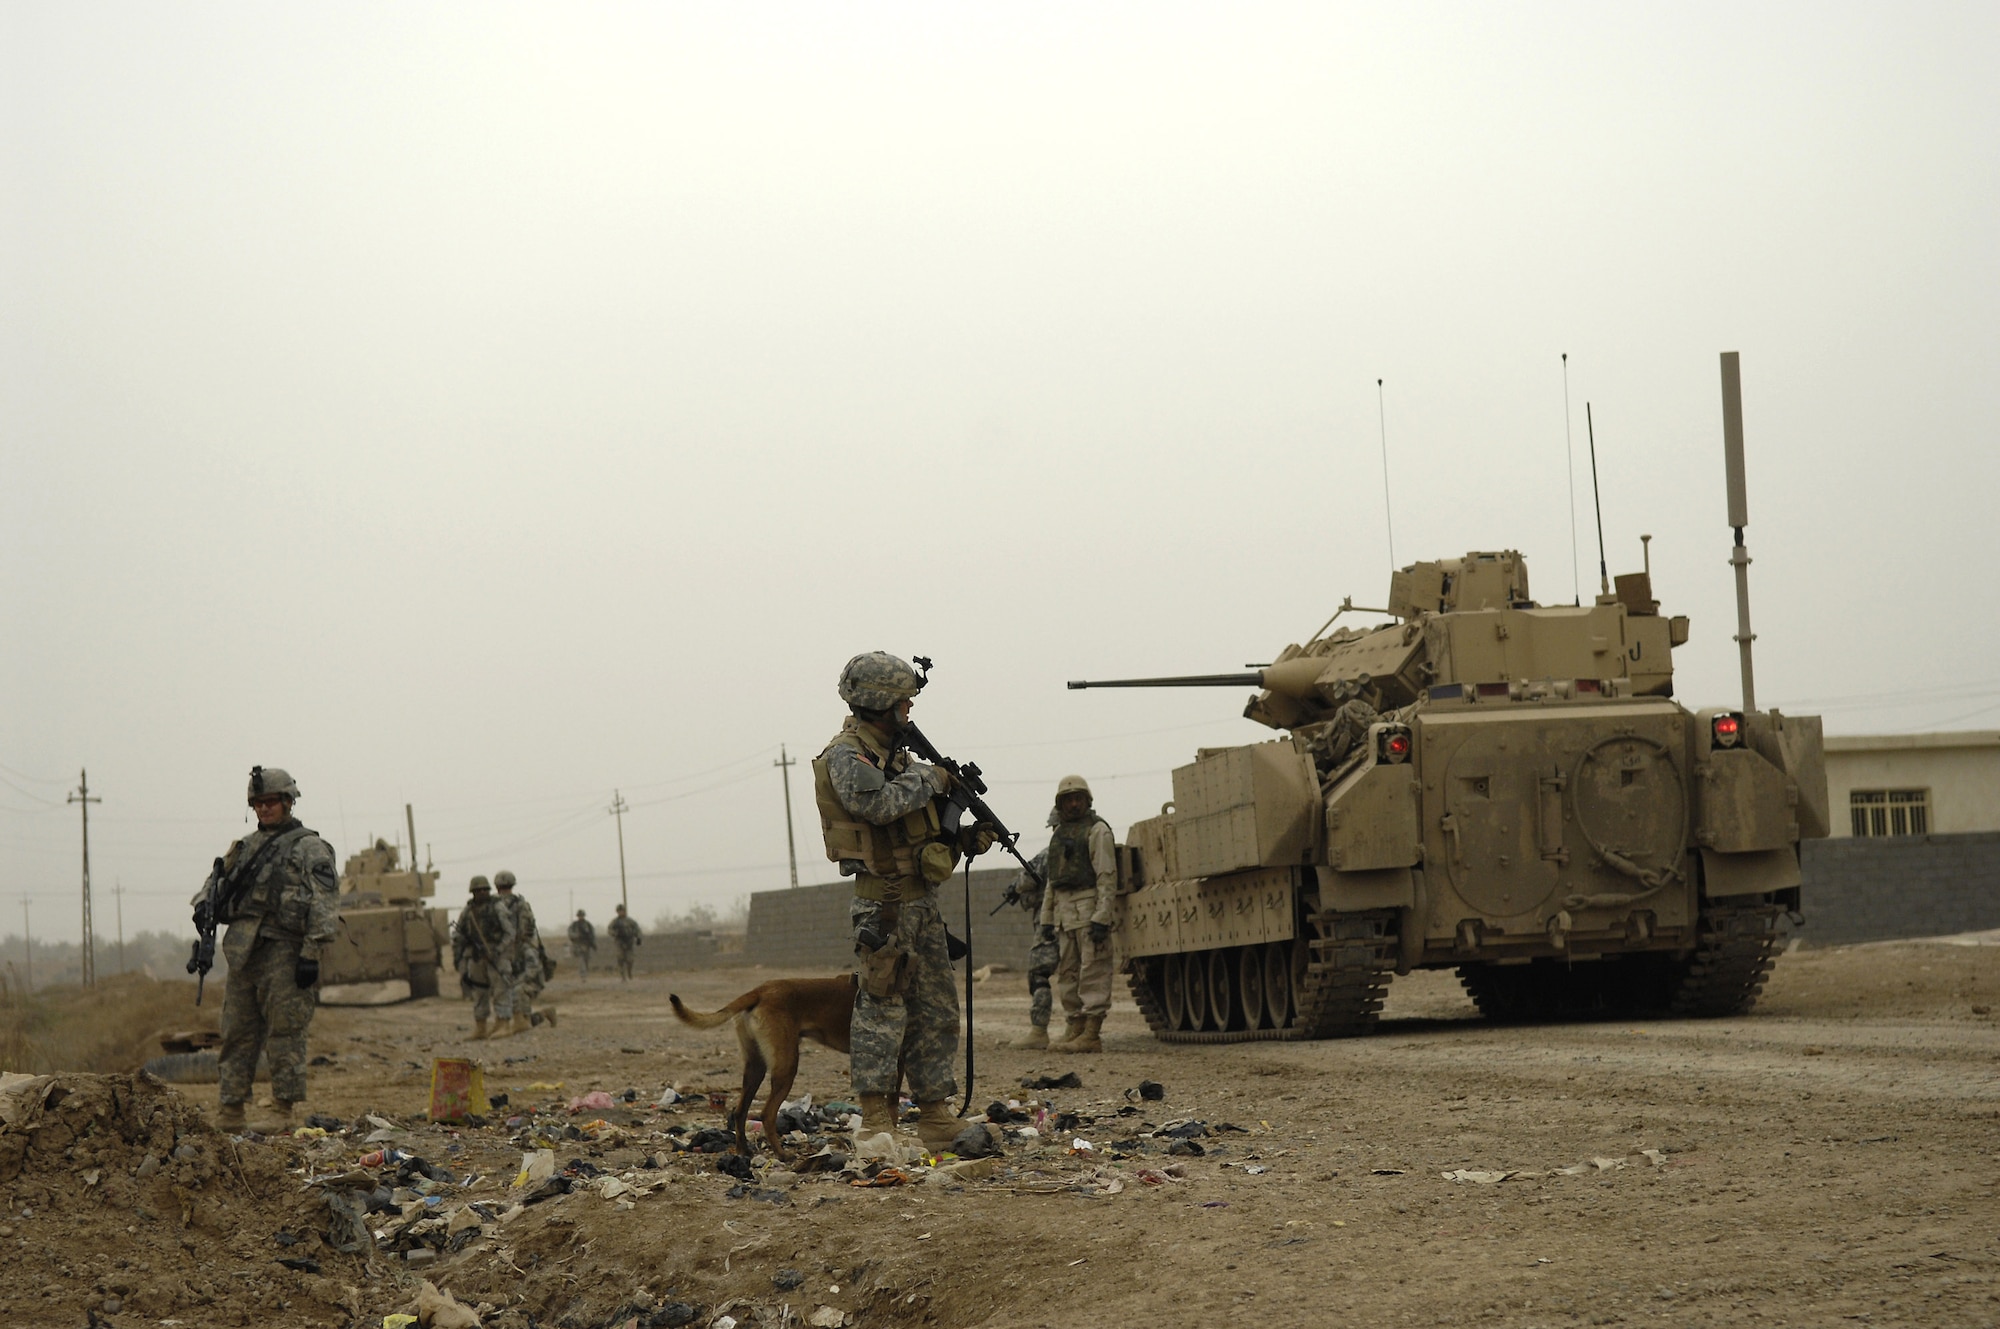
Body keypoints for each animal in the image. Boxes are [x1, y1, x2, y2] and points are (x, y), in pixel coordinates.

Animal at [668, 972, 856, 1160]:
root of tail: (760, 991)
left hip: (755, 1067)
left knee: (740, 1111)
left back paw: (744, 1151)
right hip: (786, 1067)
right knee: (767, 1114)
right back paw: (782, 1154)